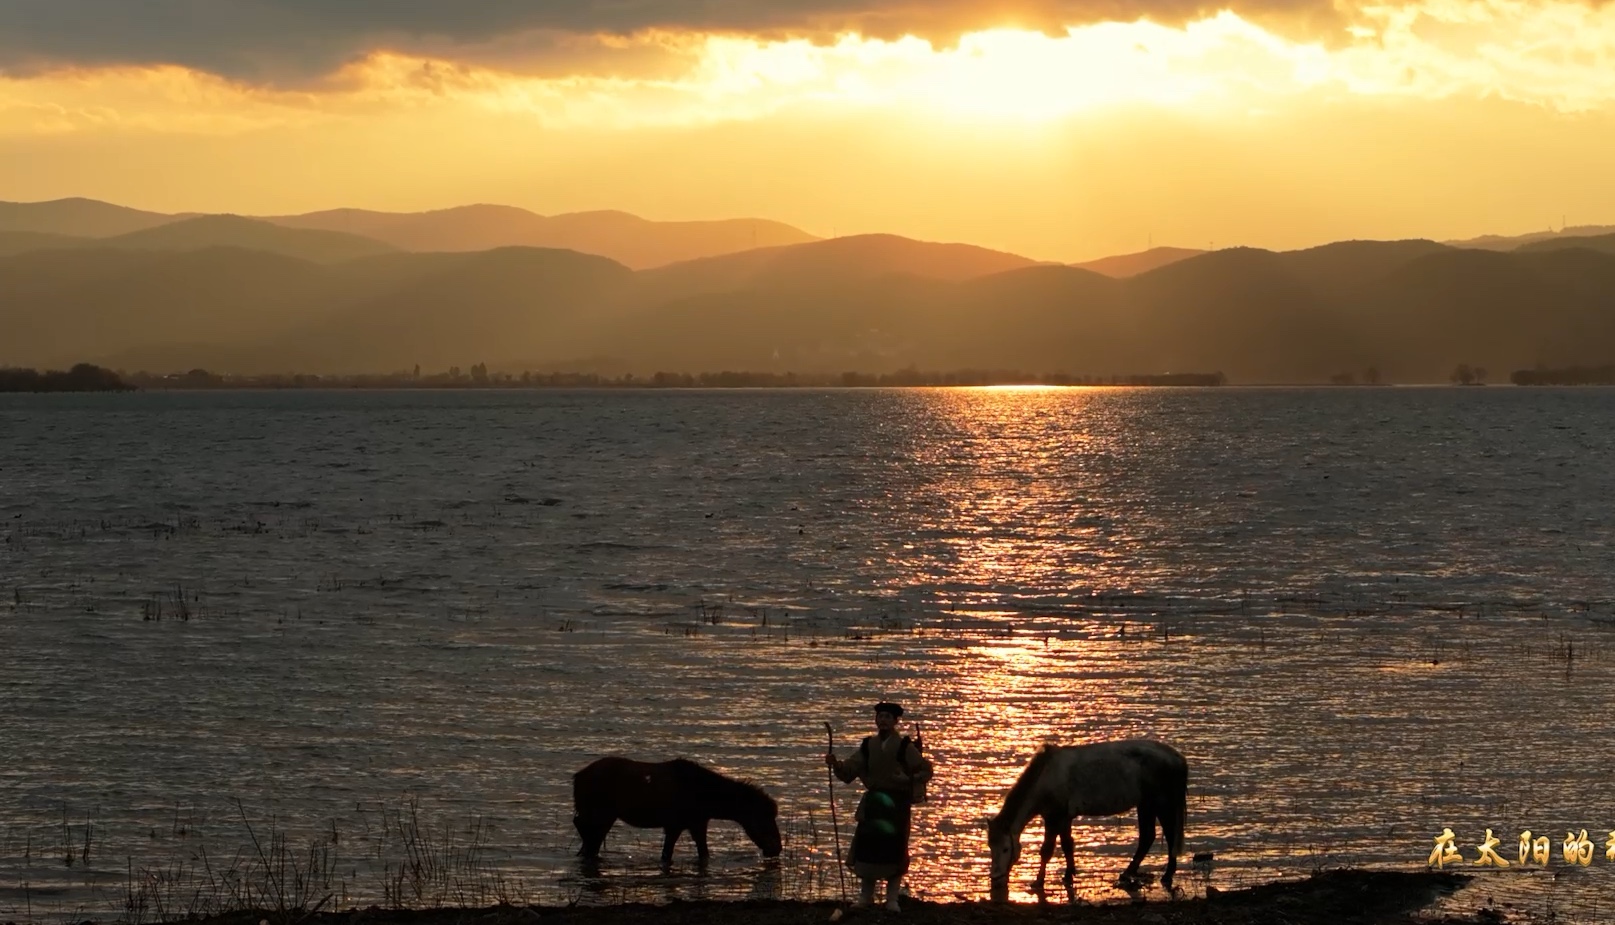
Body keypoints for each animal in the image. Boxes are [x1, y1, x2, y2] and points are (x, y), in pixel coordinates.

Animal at [574, 752, 781, 865]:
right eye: (765, 818)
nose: (777, 849)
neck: (702, 791)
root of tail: (579, 776)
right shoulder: (677, 826)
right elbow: (670, 854)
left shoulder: (695, 825)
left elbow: (699, 853)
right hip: (601, 816)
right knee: (588, 839)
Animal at [981, 736, 1188, 897]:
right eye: (990, 846)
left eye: (1006, 849)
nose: (996, 879)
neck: (1046, 776)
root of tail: (1177, 757)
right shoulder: (1064, 819)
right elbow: (1067, 845)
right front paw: (1069, 874)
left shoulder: (1054, 817)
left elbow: (1047, 850)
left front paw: (1038, 881)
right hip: (1145, 804)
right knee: (1147, 837)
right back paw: (1128, 873)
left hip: (1160, 803)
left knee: (1168, 836)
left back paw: (1167, 875)